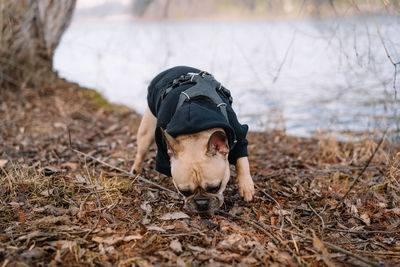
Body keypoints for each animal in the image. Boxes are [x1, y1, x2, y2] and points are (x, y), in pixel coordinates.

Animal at [131, 67, 255, 214]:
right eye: (184, 192)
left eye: (215, 187)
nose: (201, 203)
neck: (195, 126)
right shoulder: (163, 153)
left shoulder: (239, 134)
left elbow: (242, 160)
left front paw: (246, 186)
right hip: (147, 131)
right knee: (141, 152)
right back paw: (134, 171)